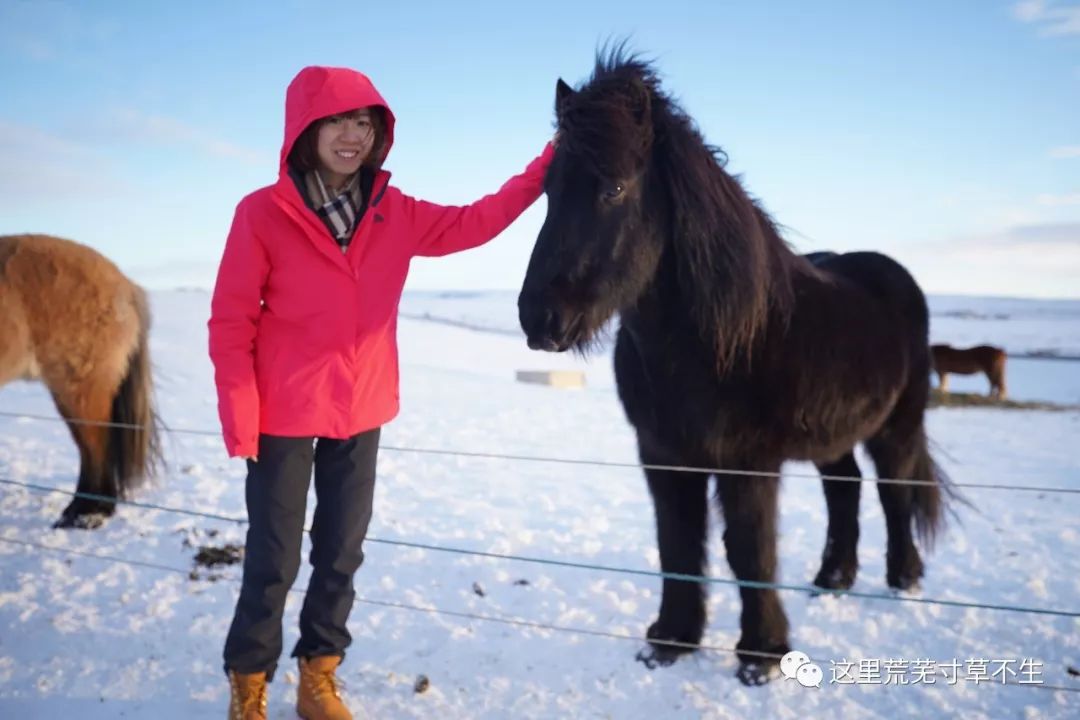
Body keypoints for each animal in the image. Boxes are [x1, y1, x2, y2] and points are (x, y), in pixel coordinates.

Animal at [518, 52, 950, 686]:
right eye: (548, 191)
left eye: (614, 187)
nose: (540, 318)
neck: (712, 343)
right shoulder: (663, 456)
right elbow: (677, 542)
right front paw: (670, 640)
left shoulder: (747, 462)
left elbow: (749, 548)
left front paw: (761, 656)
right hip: (834, 436)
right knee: (844, 489)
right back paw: (832, 581)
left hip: (896, 426)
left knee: (896, 492)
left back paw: (904, 581)